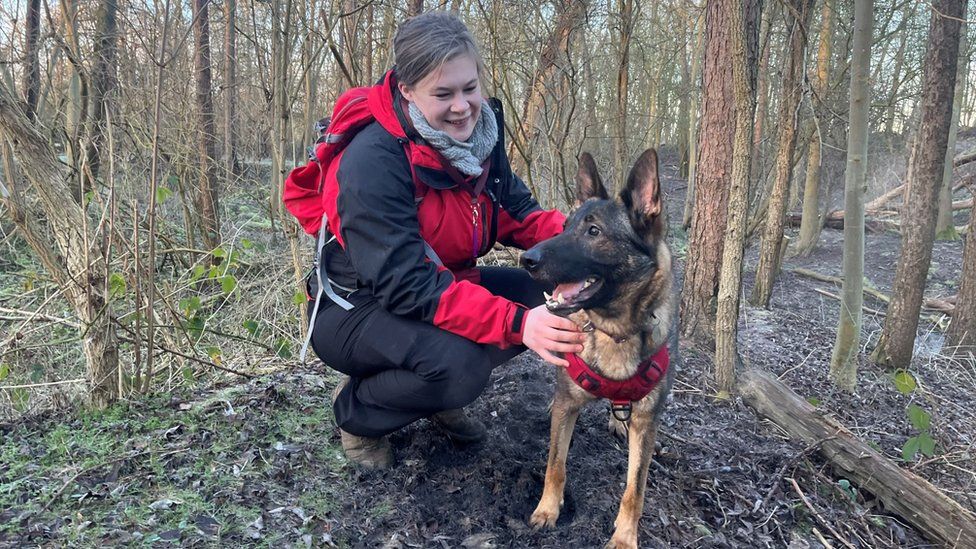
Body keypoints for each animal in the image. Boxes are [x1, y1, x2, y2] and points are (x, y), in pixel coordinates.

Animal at [524, 148, 676, 544]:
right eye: (563, 227)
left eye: (594, 232)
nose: (526, 259)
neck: (614, 330)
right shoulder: (567, 404)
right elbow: (555, 463)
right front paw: (548, 509)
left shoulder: (646, 422)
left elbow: (635, 488)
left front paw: (624, 538)